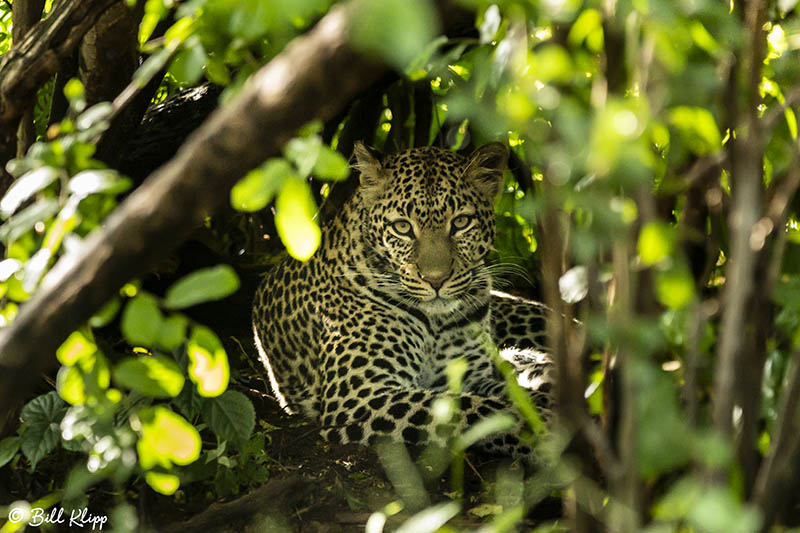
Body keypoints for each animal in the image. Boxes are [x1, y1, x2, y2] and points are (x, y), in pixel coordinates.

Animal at [253, 140, 552, 458]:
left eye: (461, 222)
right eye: (402, 227)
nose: (436, 280)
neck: (436, 323)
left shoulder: (471, 374)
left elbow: (507, 393)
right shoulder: (361, 395)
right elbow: (475, 409)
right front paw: (539, 427)